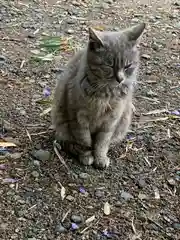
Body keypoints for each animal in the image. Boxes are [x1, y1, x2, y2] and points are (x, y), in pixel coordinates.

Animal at [51, 22, 146, 169]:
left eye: (128, 66)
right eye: (109, 65)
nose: (120, 79)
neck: (105, 93)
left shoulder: (111, 121)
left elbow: (102, 142)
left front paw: (100, 157)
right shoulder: (77, 118)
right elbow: (84, 141)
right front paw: (86, 155)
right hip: (60, 122)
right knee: (66, 141)